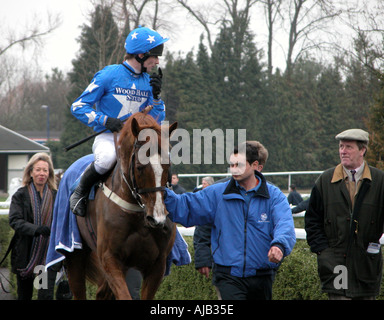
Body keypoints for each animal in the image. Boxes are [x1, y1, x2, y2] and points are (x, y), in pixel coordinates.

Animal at [65, 113, 178, 300]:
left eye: (167, 165)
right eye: (139, 167)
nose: (157, 218)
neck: (138, 213)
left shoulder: (157, 264)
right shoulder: (109, 258)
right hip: (74, 255)